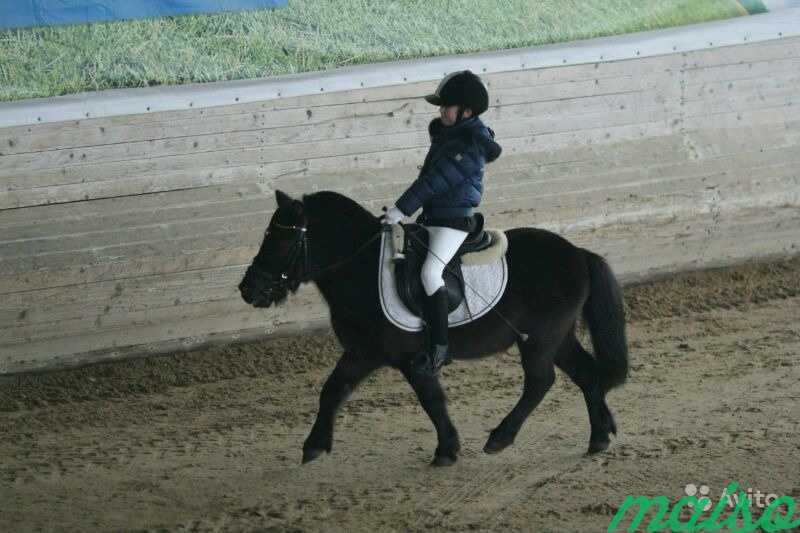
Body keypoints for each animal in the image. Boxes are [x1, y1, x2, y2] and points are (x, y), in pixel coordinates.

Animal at [241, 191, 628, 466]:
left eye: (281, 239)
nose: (248, 289)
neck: (362, 268)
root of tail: (578, 253)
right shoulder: (363, 352)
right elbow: (333, 390)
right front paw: (314, 446)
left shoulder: (410, 358)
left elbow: (431, 400)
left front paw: (447, 449)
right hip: (557, 338)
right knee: (586, 373)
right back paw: (599, 437)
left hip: (540, 339)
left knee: (540, 382)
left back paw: (500, 438)